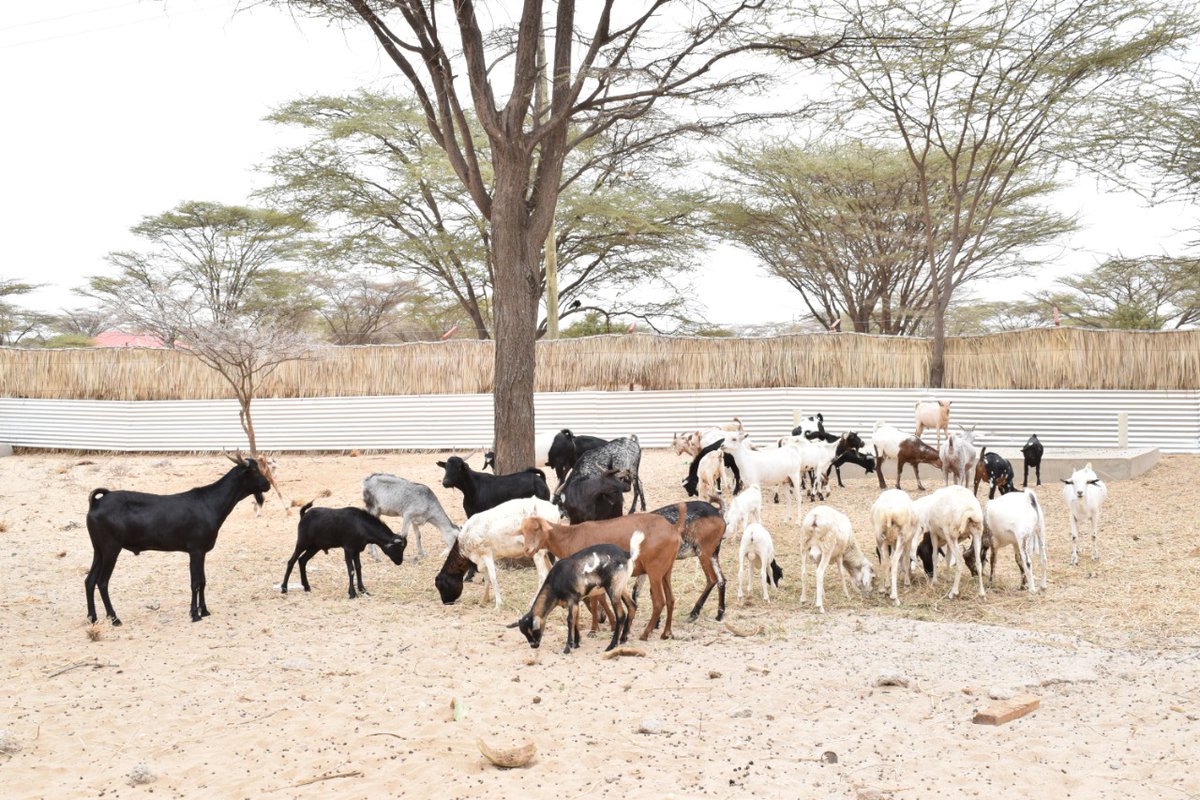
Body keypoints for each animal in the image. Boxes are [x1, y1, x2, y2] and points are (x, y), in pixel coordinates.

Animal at [85, 452, 271, 625]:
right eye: (254, 470)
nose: (267, 484)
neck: (210, 503)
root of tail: (97, 503)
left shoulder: (202, 552)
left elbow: (203, 581)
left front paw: (204, 611)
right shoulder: (195, 550)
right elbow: (195, 583)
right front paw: (195, 614)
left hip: (98, 549)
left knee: (89, 580)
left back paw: (92, 617)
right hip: (111, 548)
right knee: (102, 582)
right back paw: (114, 618)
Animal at [509, 536, 641, 654]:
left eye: (533, 630)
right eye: (524, 632)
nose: (534, 646)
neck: (555, 582)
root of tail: (626, 554)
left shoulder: (572, 599)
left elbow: (570, 620)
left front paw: (567, 648)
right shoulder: (575, 602)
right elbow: (576, 620)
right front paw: (576, 643)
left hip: (614, 588)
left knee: (621, 615)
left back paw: (611, 645)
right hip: (622, 587)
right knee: (632, 606)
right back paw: (623, 639)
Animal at [520, 504, 686, 641]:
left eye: (536, 528)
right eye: (523, 531)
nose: (527, 550)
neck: (571, 537)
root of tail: (673, 528)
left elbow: (595, 601)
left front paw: (594, 629)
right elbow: (599, 598)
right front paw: (608, 625)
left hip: (654, 572)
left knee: (659, 602)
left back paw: (645, 634)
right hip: (666, 570)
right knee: (671, 600)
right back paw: (666, 633)